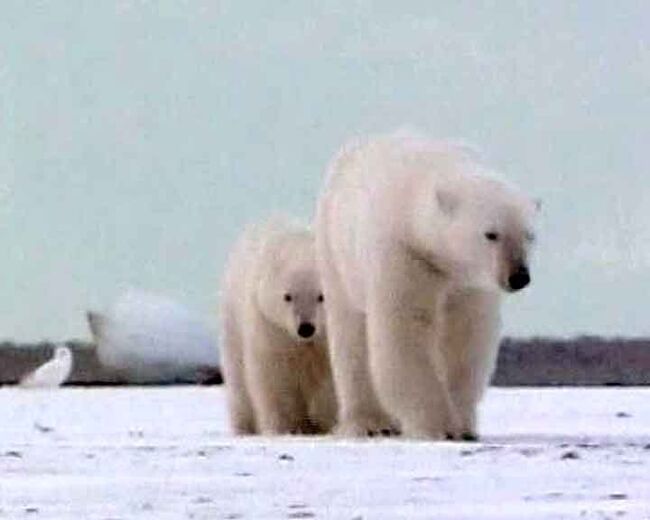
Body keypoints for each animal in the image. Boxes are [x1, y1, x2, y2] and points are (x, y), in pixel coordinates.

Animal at [316, 133, 536, 438]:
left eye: (529, 235)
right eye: (491, 234)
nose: (518, 276)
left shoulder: (467, 282)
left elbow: (464, 337)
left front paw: (463, 425)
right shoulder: (405, 253)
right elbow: (406, 332)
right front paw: (439, 426)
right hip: (337, 252)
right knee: (351, 336)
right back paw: (369, 423)